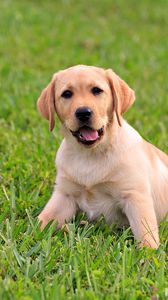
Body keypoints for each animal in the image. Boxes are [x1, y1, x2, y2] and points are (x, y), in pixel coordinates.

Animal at [37, 65, 168, 248]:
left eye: (97, 90)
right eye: (67, 94)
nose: (83, 113)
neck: (90, 155)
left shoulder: (135, 196)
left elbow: (145, 233)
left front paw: (149, 254)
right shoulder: (64, 195)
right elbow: (41, 221)